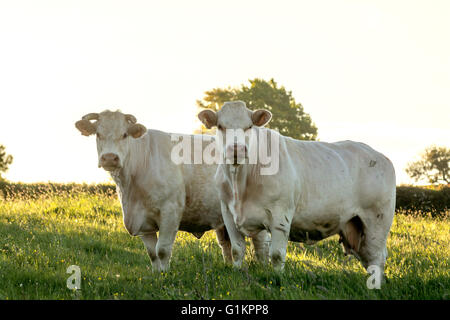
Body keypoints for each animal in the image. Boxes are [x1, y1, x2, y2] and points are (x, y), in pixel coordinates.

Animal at [75, 110, 268, 272]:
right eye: (98, 134)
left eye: (124, 134)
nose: (109, 158)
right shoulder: (142, 221)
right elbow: (152, 253)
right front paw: (157, 274)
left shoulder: (170, 211)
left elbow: (162, 249)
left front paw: (166, 275)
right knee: (226, 244)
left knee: (261, 244)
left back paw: (264, 269)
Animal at [199, 100, 396, 276]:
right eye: (220, 126)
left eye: (249, 126)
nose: (237, 149)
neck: (240, 184)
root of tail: (380, 155)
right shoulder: (228, 213)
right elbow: (237, 251)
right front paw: (238, 272)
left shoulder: (280, 215)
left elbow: (277, 255)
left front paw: (277, 279)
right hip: (355, 225)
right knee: (368, 257)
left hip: (377, 220)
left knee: (377, 257)